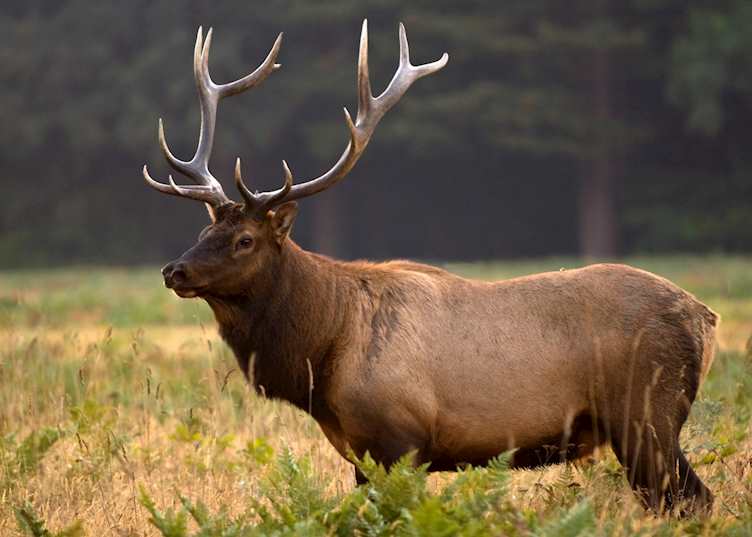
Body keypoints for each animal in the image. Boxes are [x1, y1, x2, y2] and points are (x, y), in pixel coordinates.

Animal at [142, 20, 718, 514]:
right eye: (203, 233)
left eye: (244, 240)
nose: (174, 271)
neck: (325, 349)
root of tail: (704, 318)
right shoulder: (360, 451)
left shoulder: (401, 438)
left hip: (647, 412)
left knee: (689, 499)